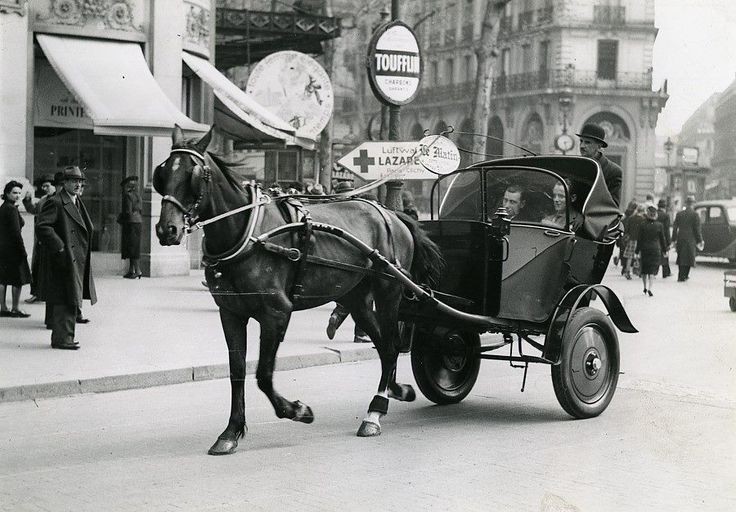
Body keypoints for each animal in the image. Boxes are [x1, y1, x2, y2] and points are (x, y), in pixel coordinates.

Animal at [154, 126, 442, 454]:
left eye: (193, 174)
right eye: (162, 172)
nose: (166, 230)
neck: (249, 232)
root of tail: (392, 215)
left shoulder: (277, 313)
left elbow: (263, 375)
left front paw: (296, 410)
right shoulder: (230, 313)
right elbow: (237, 371)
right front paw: (231, 431)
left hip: (388, 293)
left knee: (392, 346)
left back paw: (375, 411)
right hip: (356, 298)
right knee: (383, 346)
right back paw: (394, 391)